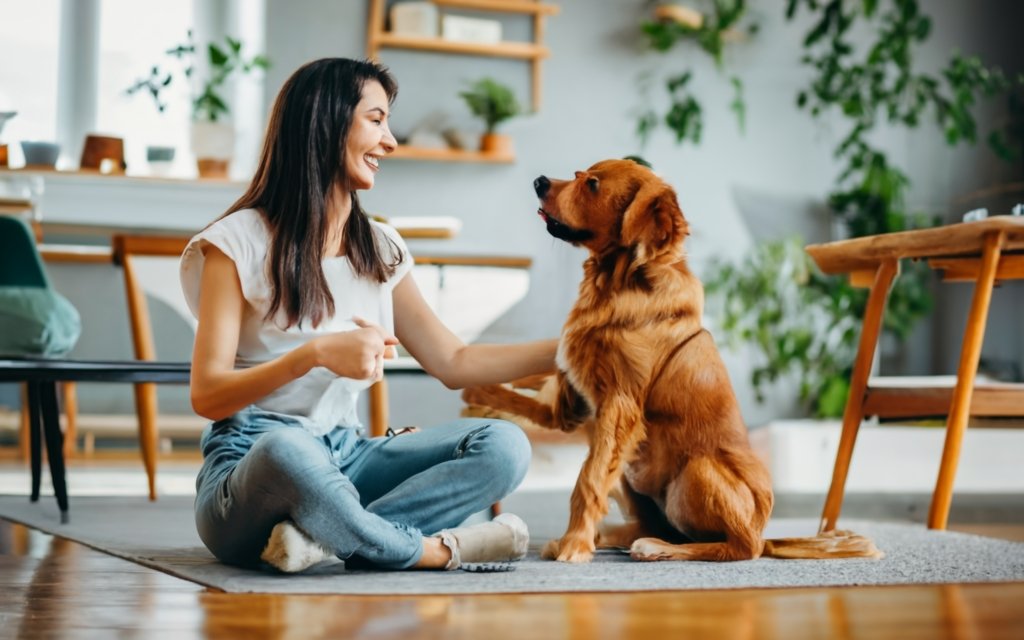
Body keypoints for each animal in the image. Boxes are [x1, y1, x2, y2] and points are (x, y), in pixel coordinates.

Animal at [462, 159, 880, 565]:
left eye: (592, 184)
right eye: (579, 174)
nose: (539, 181)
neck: (616, 284)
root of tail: (765, 531)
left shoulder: (619, 406)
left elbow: (588, 480)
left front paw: (575, 544)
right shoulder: (573, 405)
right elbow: (527, 397)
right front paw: (477, 397)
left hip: (696, 470)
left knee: (740, 546)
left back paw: (653, 548)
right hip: (633, 473)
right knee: (654, 525)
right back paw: (619, 539)